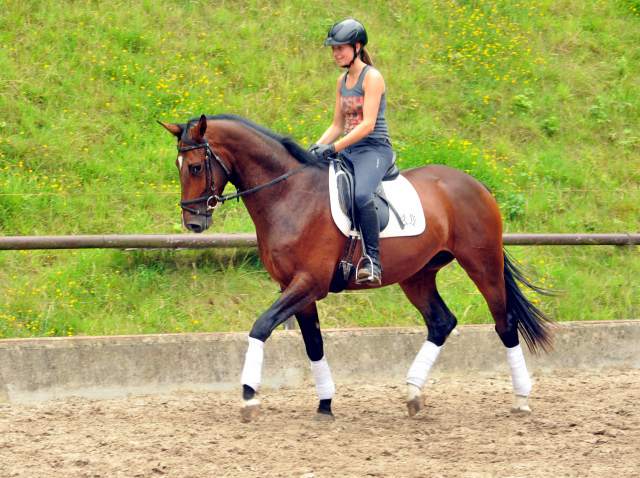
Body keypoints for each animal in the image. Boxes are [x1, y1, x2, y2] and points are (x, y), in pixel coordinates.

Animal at [158, 115, 552, 422]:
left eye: (195, 167)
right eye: (179, 168)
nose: (193, 223)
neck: (288, 194)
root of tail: (475, 183)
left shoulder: (308, 283)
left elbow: (261, 327)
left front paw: (249, 397)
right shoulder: (294, 287)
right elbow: (314, 344)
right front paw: (325, 405)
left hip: (482, 264)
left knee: (505, 322)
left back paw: (521, 398)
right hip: (418, 275)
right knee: (442, 322)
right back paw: (413, 394)